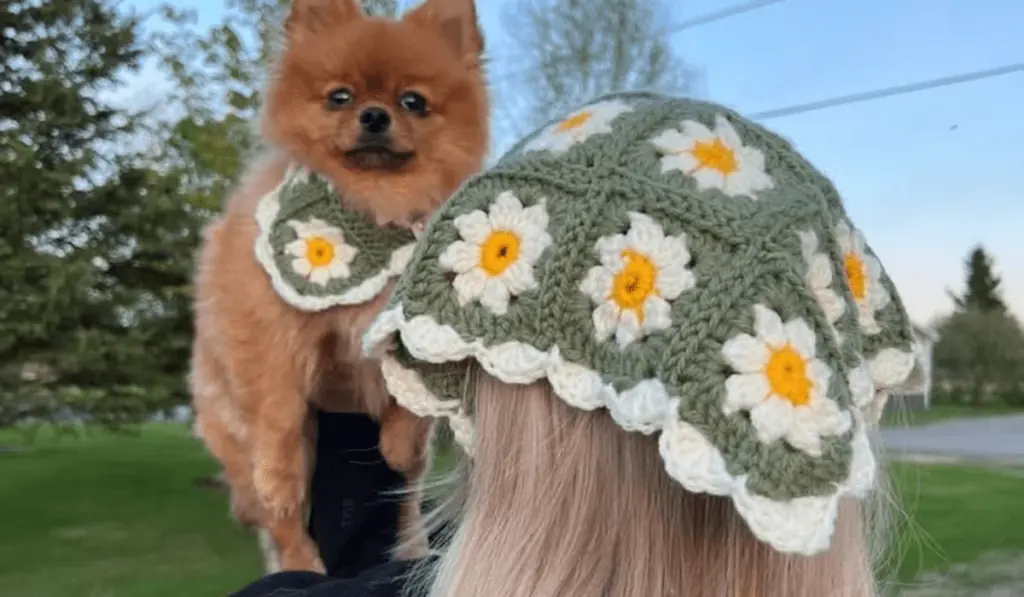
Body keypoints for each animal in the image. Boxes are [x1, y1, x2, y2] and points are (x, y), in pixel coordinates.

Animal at [191, 0, 487, 573]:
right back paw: (300, 562)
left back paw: (411, 546)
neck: (373, 207)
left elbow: (409, 406)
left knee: (407, 499)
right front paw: (278, 479)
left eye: (413, 102)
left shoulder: (413, 327)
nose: (374, 115)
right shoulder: (269, 329)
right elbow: (279, 413)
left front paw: (399, 440)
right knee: (281, 521)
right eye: (339, 97)